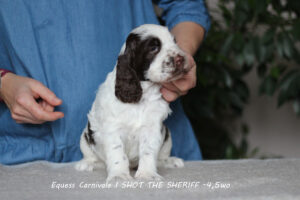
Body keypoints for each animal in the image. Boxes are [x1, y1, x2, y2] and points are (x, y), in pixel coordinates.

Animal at [76, 24, 191, 182]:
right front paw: (119, 175)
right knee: (92, 156)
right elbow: (117, 153)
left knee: (162, 156)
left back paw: (170, 161)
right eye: (153, 48)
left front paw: (147, 174)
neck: (143, 96)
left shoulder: (152, 128)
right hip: (85, 137)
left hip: (167, 135)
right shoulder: (113, 129)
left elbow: (148, 152)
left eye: (175, 42)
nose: (180, 59)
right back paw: (86, 163)